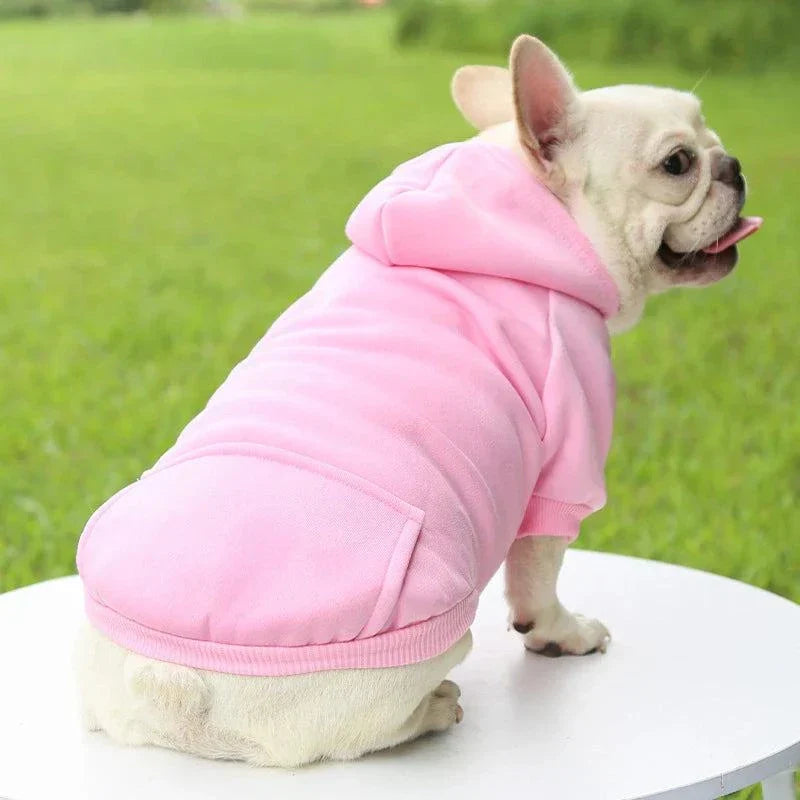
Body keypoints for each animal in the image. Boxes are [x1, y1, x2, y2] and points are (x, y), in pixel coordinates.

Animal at [75, 34, 764, 764]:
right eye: (678, 163)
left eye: (710, 134)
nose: (733, 164)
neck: (538, 209)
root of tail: (171, 683)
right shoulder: (566, 460)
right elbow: (540, 574)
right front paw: (562, 633)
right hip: (423, 643)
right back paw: (437, 708)